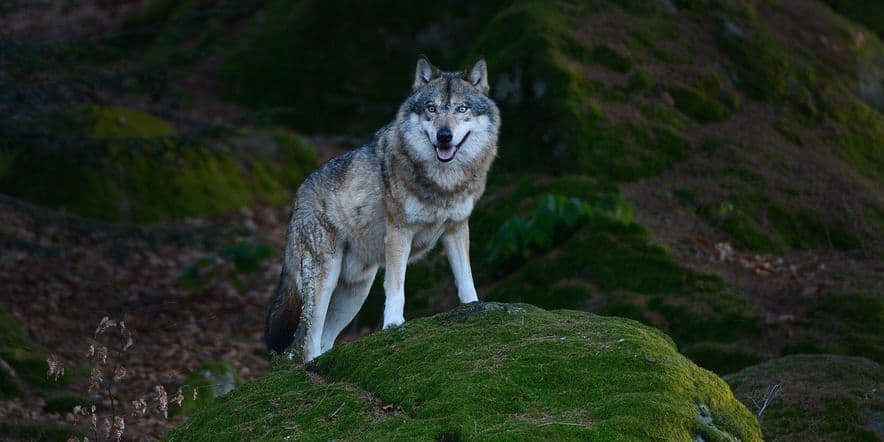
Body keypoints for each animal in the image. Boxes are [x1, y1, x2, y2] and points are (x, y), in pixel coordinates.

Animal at [262, 55, 500, 360]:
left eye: (462, 108)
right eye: (431, 108)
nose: (444, 136)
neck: (443, 183)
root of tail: (298, 196)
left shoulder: (456, 228)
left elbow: (466, 278)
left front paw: (475, 307)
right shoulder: (400, 232)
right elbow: (396, 285)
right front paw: (394, 324)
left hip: (355, 293)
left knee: (325, 341)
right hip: (324, 282)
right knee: (308, 343)